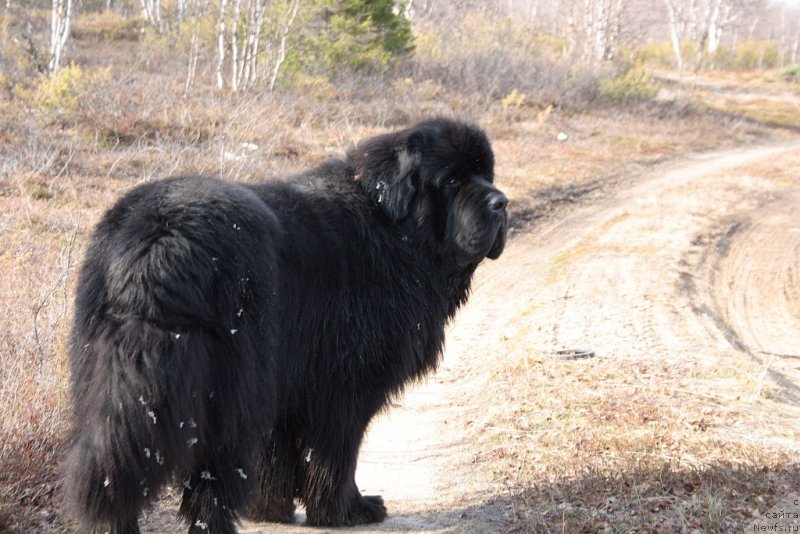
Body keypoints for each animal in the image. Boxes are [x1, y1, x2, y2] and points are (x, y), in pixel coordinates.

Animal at [65, 119, 510, 532]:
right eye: (451, 180)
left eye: (487, 174)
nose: (501, 203)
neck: (393, 227)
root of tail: (161, 237)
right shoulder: (343, 385)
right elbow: (337, 453)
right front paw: (346, 510)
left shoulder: (289, 376)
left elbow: (278, 453)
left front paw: (272, 509)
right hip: (232, 388)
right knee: (212, 478)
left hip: (106, 378)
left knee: (117, 462)